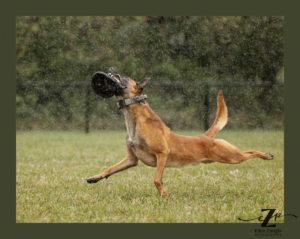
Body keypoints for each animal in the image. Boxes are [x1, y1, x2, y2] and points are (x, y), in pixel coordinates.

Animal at [85, 67, 274, 196]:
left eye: (125, 77)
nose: (111, 69)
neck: (136, 119)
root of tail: (206, 136)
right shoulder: (131, 159)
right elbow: (110, 169)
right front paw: (95, 177)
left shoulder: (163, 153)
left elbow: (156, 179)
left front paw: (164, 194)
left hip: (231, 157)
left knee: (250, 152)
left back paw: (267, 155)